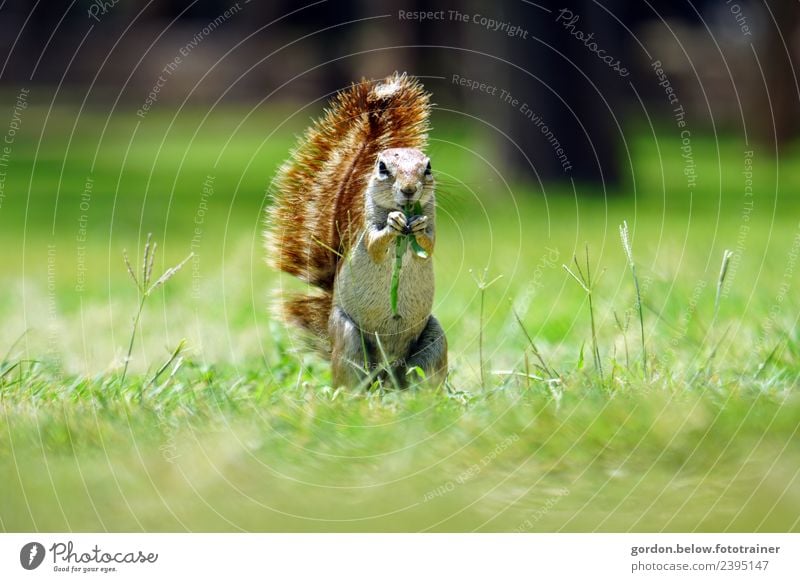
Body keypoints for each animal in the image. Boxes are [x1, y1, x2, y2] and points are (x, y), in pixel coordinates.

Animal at [266, 74, 446, 392]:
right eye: (382, 167)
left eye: (428, 167)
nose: (409, 190)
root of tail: (385, 374)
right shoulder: (367, 230)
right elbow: (375, 244)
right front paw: (392, 224)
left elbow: (429, 244)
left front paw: (419, 226)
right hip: (348, 336)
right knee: (352, 376)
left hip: (434, 340)